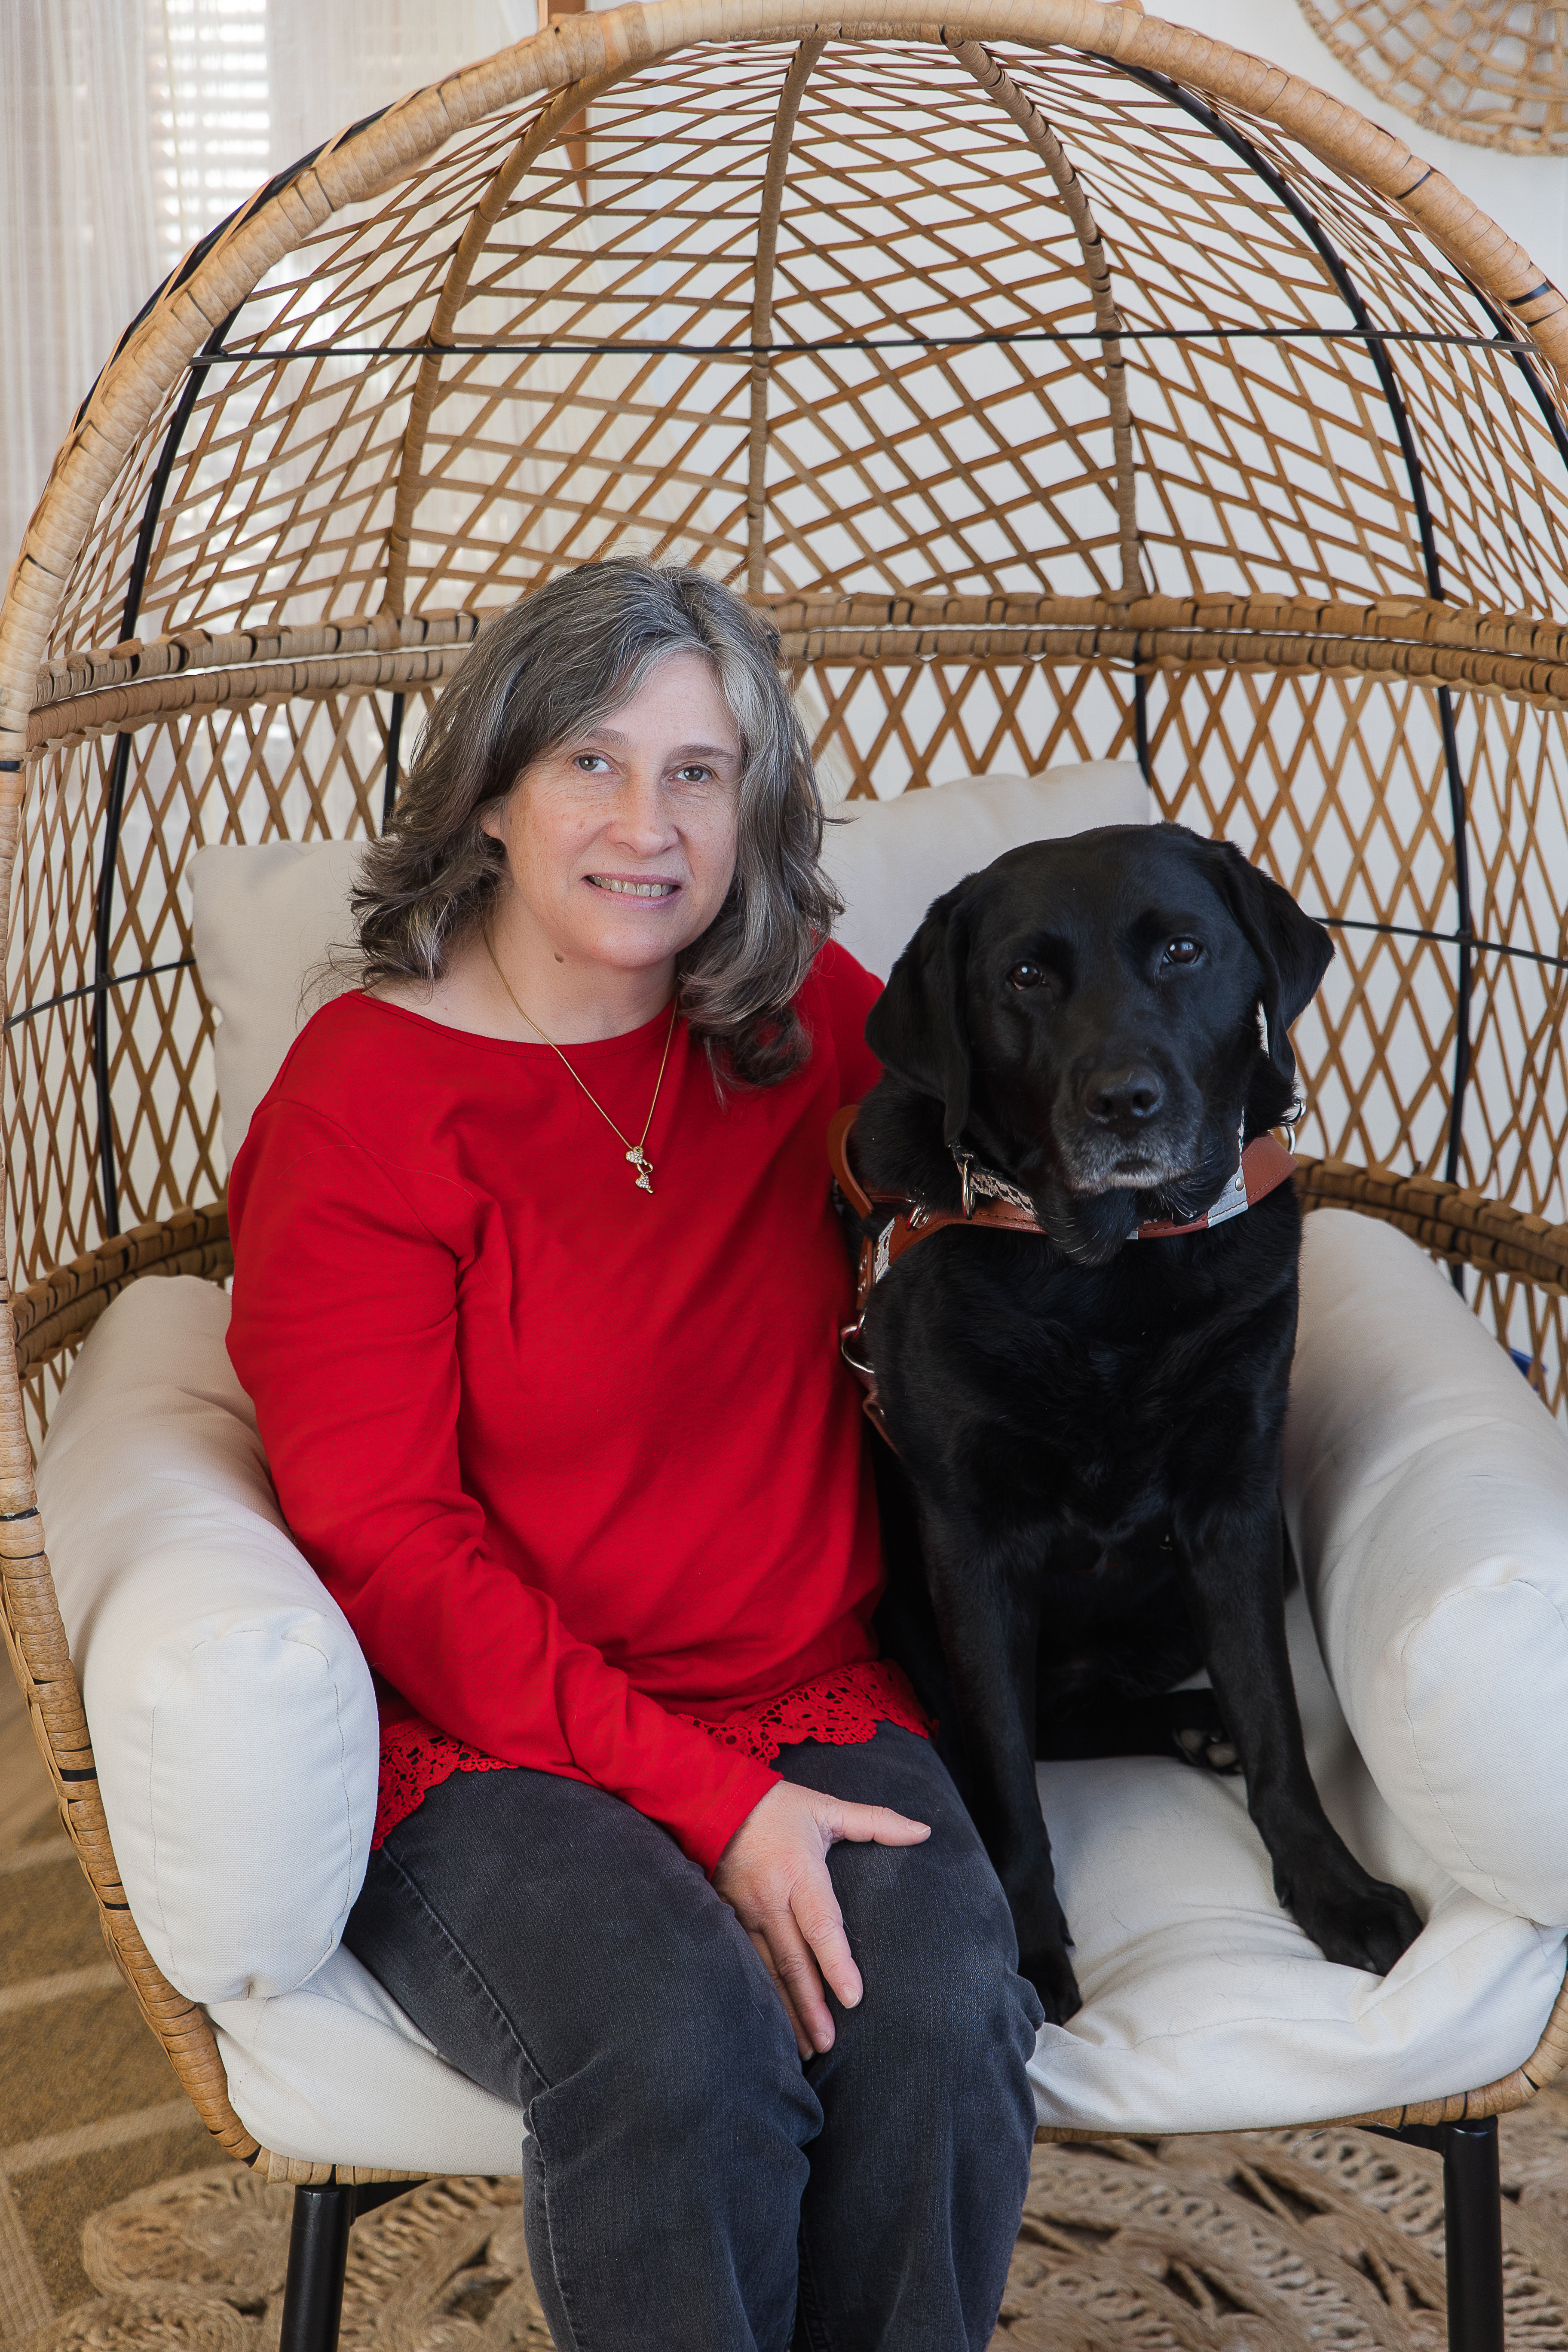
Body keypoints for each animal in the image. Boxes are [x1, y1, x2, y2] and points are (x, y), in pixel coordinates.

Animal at [851, 818, 1429, 2013]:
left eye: (1182, 951)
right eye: (1025, 977)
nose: (1124, 1101)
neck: (1111, 1279)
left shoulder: (1235, 1505)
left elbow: (1275, 1716)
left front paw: (1331, 1884)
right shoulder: (969, 1541)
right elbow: (1004, 1771)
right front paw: (1030, 1942)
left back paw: (1196, 1727)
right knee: (1027, 1730)